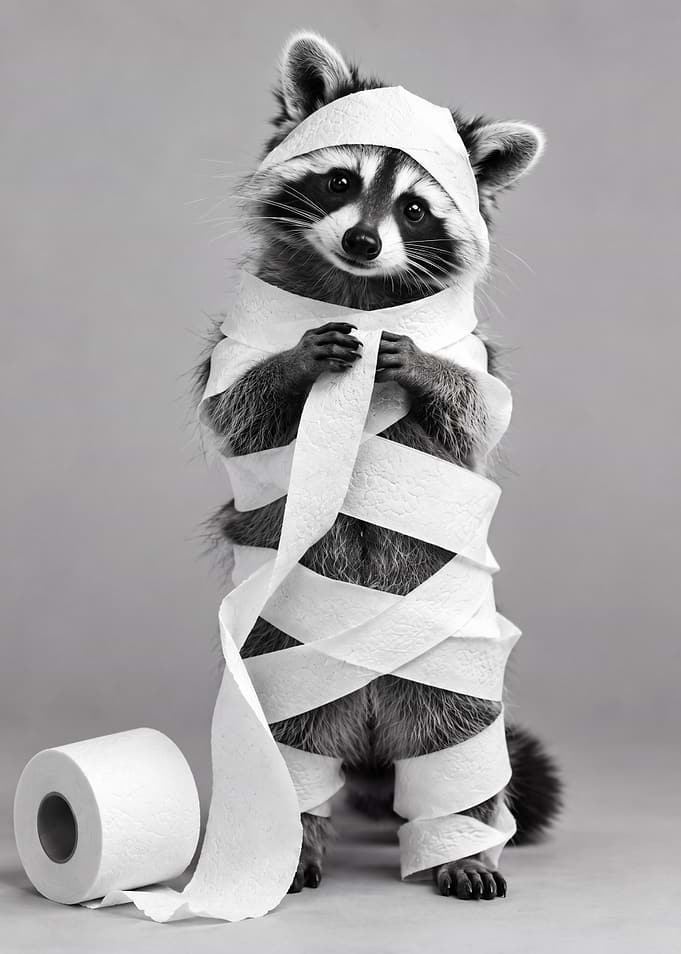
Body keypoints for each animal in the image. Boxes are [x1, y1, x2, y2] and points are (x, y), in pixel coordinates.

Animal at [197, 32, 561, 901]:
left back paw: (463, 843)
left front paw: (424, 369)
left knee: (454, 731)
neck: (357, 290)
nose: (362, 242)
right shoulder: (231, 349)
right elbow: (235, 416)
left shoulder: (477, 370)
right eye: (341, 182)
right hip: (278, 650)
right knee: (288, 736)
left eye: (414, 209)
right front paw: (295, 364)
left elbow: (472, 421)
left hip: (442, 663)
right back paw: (291, 839)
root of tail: (365, 712)